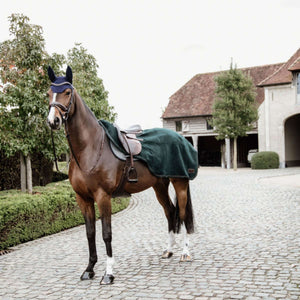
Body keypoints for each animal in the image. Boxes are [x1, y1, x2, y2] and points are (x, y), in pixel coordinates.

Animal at [46, 67, 197, 284]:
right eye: (49, 93)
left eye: (67, 92)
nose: (53, 121)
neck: (91, 148)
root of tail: (181, 139)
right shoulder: (82, 198)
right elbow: (90, 233)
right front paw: (89, 269)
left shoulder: (103, 197)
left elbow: (106, 234)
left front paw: (108, 273)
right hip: (159, 186)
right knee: (170, 212)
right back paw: (168, 251)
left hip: (180, 184)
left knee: (183, 215)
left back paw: (185, 253)